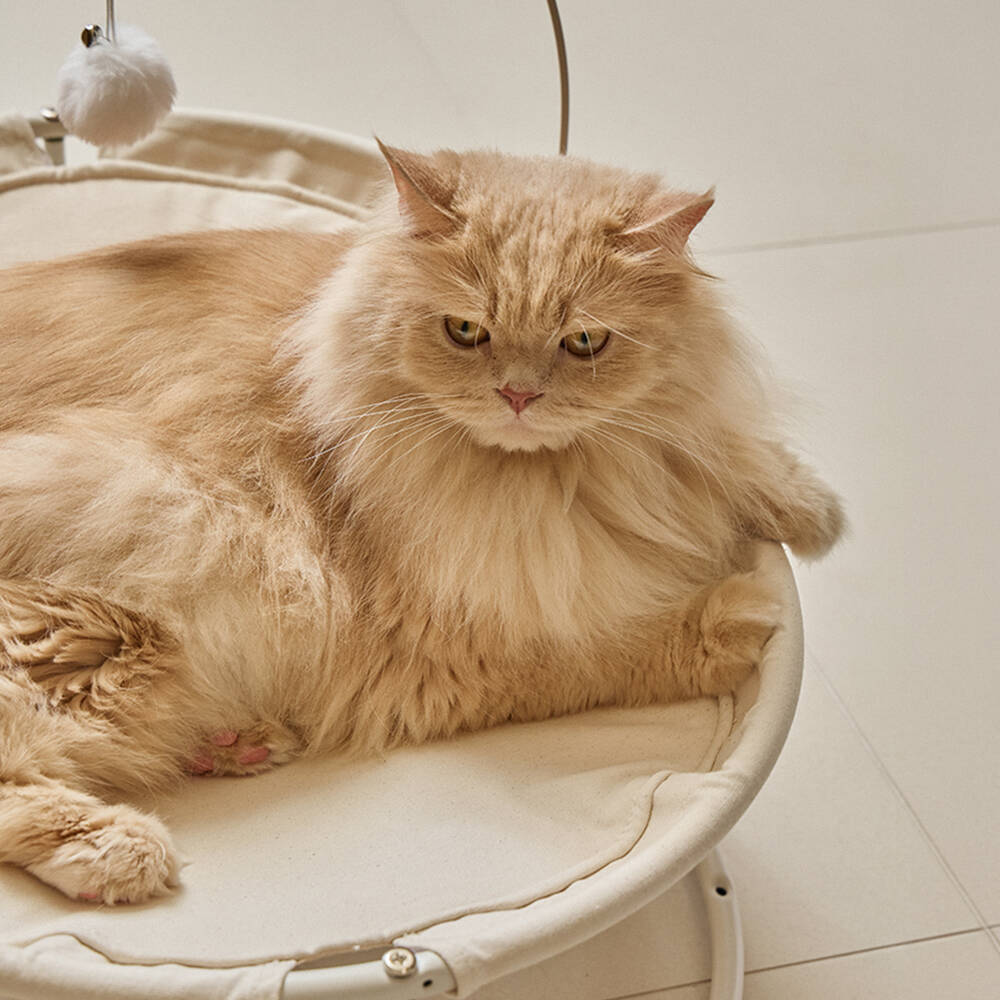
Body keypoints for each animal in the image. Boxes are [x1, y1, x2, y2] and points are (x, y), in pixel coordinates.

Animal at [0, 141, 843, 905]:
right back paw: (120, 850)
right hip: (98, 631)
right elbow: (602, 653)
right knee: (19, 782)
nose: (518, 396)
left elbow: (734, 452)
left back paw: (236, 746)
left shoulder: (679, 446)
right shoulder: (449, 648)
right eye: (464, 332)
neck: (560, 481)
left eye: (584, 341)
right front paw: (736, 617)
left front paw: (811, 511)